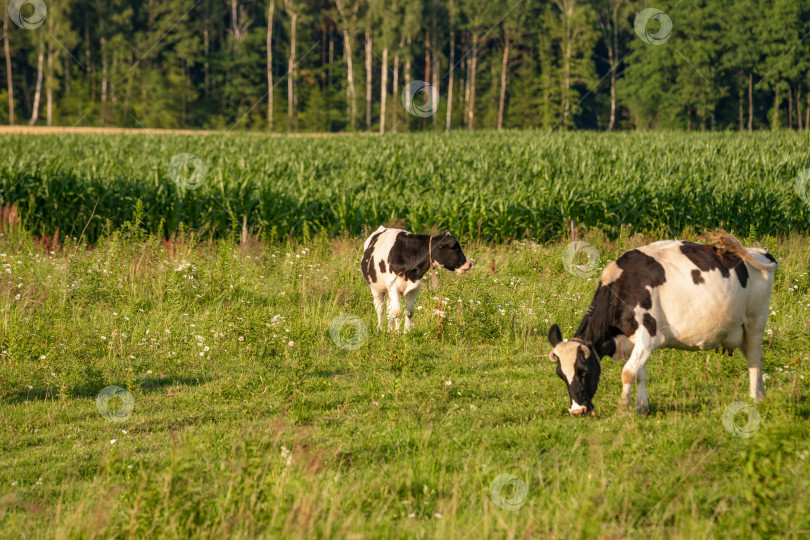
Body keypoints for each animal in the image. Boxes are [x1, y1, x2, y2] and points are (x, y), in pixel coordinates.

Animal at [548, 234, 772, 416]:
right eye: (561, 375)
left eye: (583, 371)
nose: (577, 411)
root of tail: (759, 252)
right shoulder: (635, 342)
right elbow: (640, 374)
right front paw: (641, 408)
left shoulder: (648, 337)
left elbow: (628, 373)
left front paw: (622, 410)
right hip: (741, 332)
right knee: (755, 359)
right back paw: (762, 397)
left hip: (755, 322)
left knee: (755, 360)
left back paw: (754, 400)